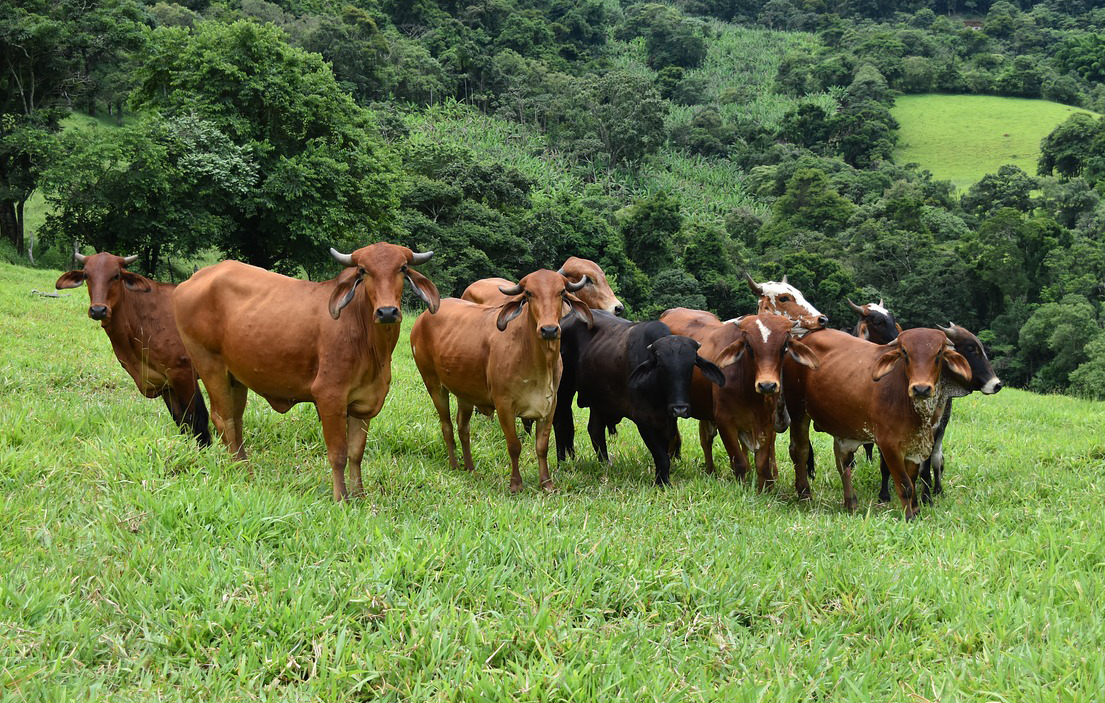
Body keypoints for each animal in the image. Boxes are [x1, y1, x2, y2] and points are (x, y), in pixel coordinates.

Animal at [172, 244, 439, 501]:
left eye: (402, 268)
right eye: (363, 270)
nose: (387, 312)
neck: (372, 345)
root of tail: (194, 278)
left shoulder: (363, 402)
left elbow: (356, 453)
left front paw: (360, 496)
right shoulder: (329, 397)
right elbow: (338, 453)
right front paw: (341, 498)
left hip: (236, 378)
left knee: (236, 422)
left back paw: (246, 470)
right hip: (210, 365)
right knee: (223, 419)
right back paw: (239, 472)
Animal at [413, 270, 587, 495]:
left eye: (562, 292)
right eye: (529, 293)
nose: (549, 330)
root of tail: (423, 318)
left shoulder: (550, 405)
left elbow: (542, 447)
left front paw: (546, 483)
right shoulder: (504, 404)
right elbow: (514, 446)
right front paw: (516, 484)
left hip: (465, 393)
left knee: (463, 428)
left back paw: (470, 468)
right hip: (434, 384)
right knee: (447, 426)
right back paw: (454, 465)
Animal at [552, 311, 724, 484]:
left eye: (691, 365)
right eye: (661, 365)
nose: (680, 408)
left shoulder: (668, 421)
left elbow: (664, 453)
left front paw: (662, 480)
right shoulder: (643, 420)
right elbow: (662, 457)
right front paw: (662, 483)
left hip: (599, 400)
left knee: (595, 430)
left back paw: (605, 464)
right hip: (563, 391)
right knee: (561, 424)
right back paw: (562, 463)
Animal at [782, 327, 972, 519]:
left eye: (939, 352)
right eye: (905, 352)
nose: (921, 388)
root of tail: (802, 339)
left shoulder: (915, 446)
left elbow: (913, 479)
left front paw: (916, 510)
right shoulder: (889, 446)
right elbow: (905, 485)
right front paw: (909, 517)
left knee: (841, 461)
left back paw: (851, 502)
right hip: (798, 411)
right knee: (800, 450)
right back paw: (805, 494)